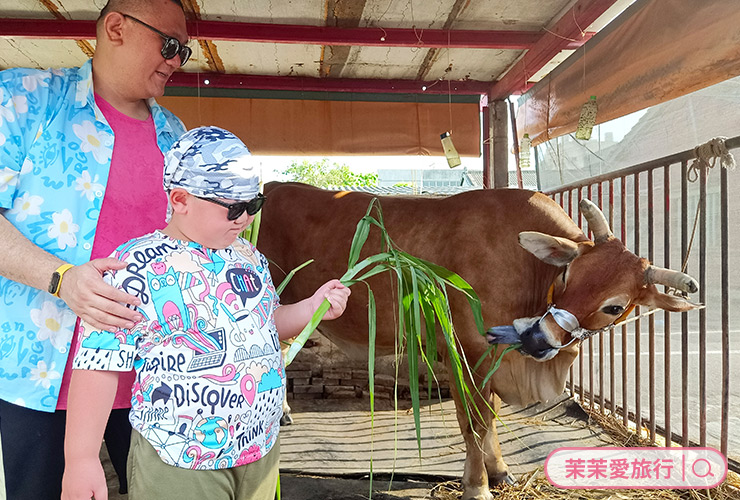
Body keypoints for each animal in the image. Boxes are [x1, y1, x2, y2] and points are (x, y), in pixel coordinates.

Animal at [258, 183, 696, 500]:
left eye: (614, 306)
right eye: (567, 274)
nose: (537, 336)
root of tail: (272, 185)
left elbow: (491, 418)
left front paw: (500, 470)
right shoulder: (466, 350)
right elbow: (475, 420)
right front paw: (477, 485)